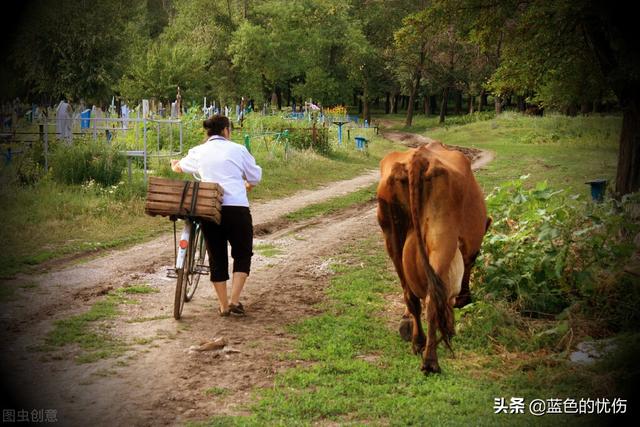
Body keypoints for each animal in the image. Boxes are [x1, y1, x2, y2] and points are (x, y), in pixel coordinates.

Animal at [378, 141, 488, 374]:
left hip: (391, 236)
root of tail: (419, 157)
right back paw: (430, 361)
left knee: (411, 296)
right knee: (432, 300)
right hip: (442, 239)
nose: (466, 299)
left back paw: (418, 342)